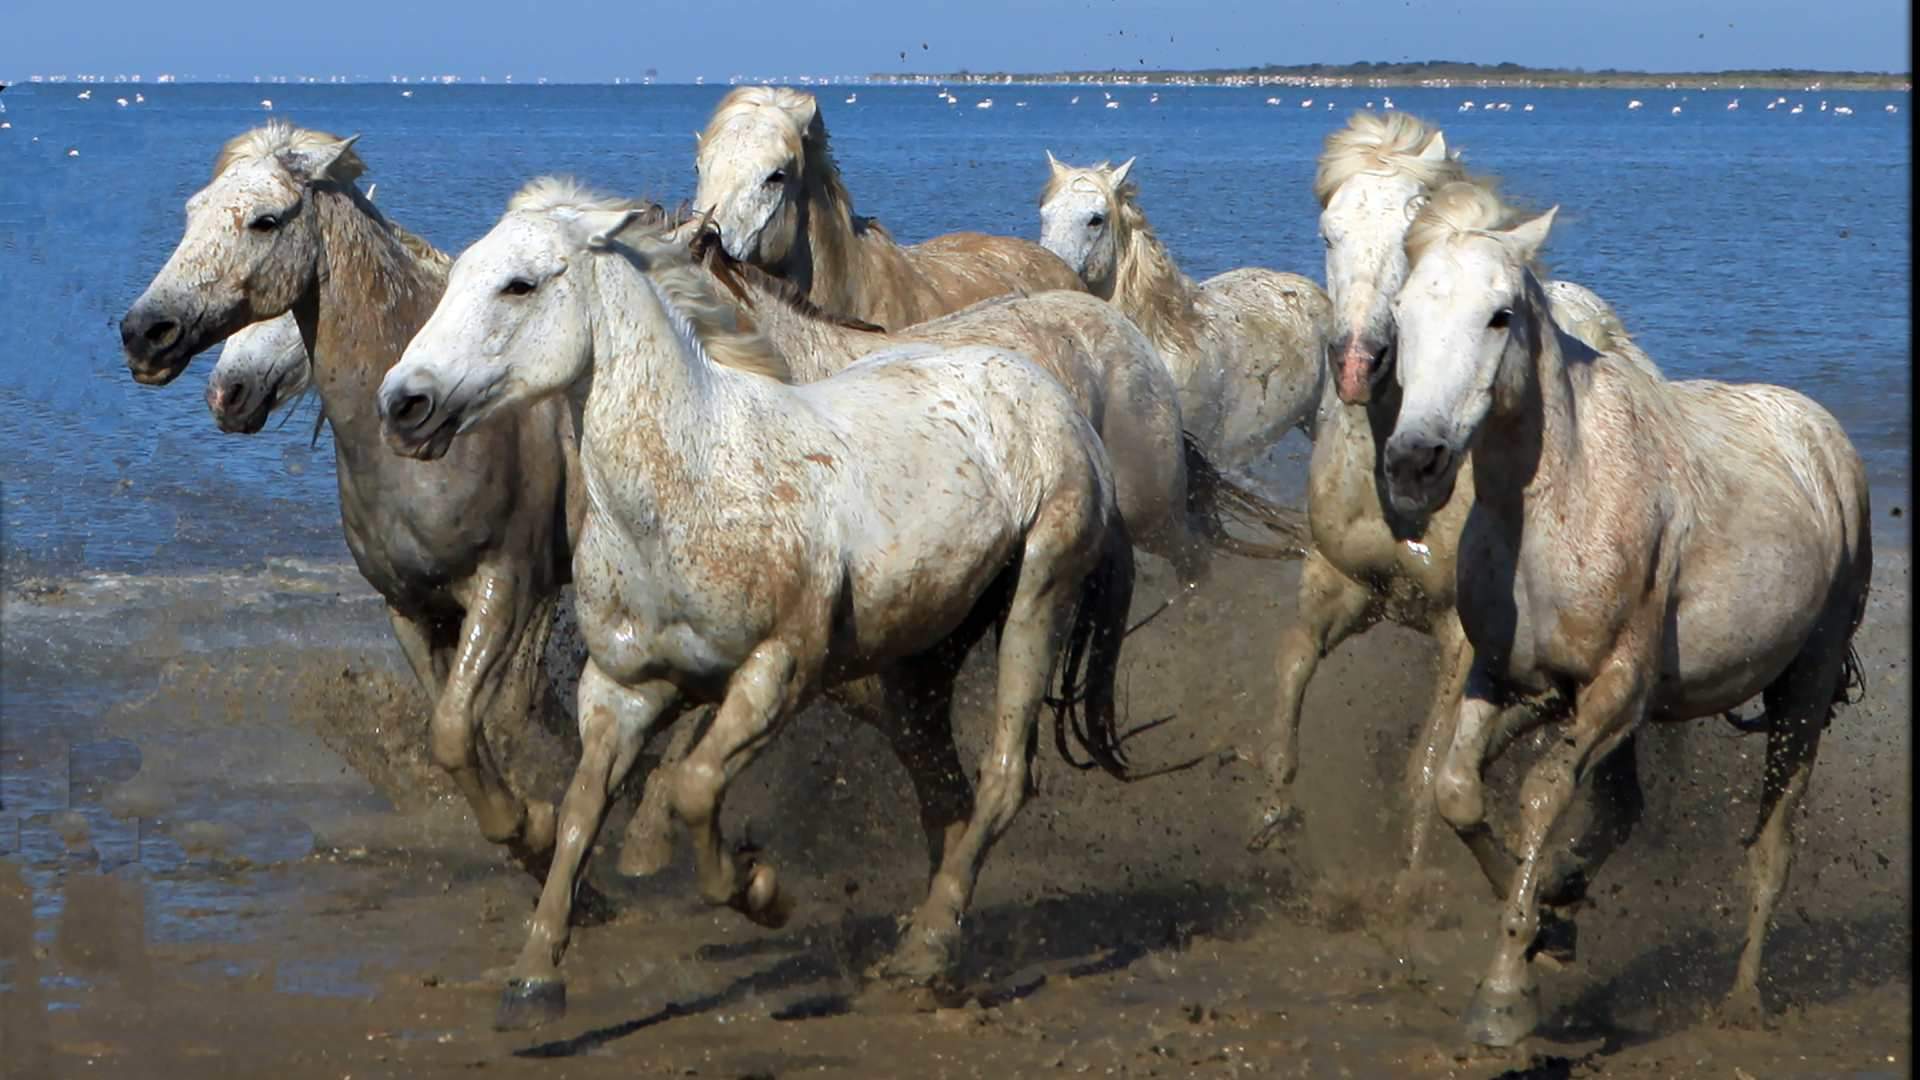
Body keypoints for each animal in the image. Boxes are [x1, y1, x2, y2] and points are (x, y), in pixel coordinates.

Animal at [119, 122, 581, 881]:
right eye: (192, 213)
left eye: (265, 220)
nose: (145, 332)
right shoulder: (413, 608)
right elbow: (453, 730)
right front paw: (518, 825)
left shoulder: (503, 588)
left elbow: (459, 727)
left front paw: (535, 828)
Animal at [377, 177, 1140, 1031]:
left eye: (519, 285)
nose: (404, 404)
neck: (695, 480)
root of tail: (1052, 395)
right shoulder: (621, 687)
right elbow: (580, 812)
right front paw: (535, 979)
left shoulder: (779, 670)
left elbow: (692, 787)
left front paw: (760, 891)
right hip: (919, 662)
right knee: (947, 795)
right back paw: (930, 933)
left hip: (1040, 592)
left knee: (1007, 776)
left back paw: (926, 953)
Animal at [1251, 111, 1655, 908]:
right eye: (1329, 232)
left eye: (1411, 233)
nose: (1357, 361)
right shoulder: (1341, 586)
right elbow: (1287, 676)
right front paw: (1277, 822)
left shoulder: (1464, 637)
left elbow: (1425, 768)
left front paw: (1412, 890)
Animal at [1382, 180, 1871, 1047]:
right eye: (1401, 314)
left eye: (1499, 315)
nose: (1415, 465)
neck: (1557, 505)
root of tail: (1824, 439)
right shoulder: (1498, 671)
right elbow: (1458, 787)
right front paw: (1547, 917)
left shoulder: (1617, 687)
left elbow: (1542, 794)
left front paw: (1506, 990)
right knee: (1621, 810)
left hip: (1805, 687)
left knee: (1772, 846)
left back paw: (1743, 999)